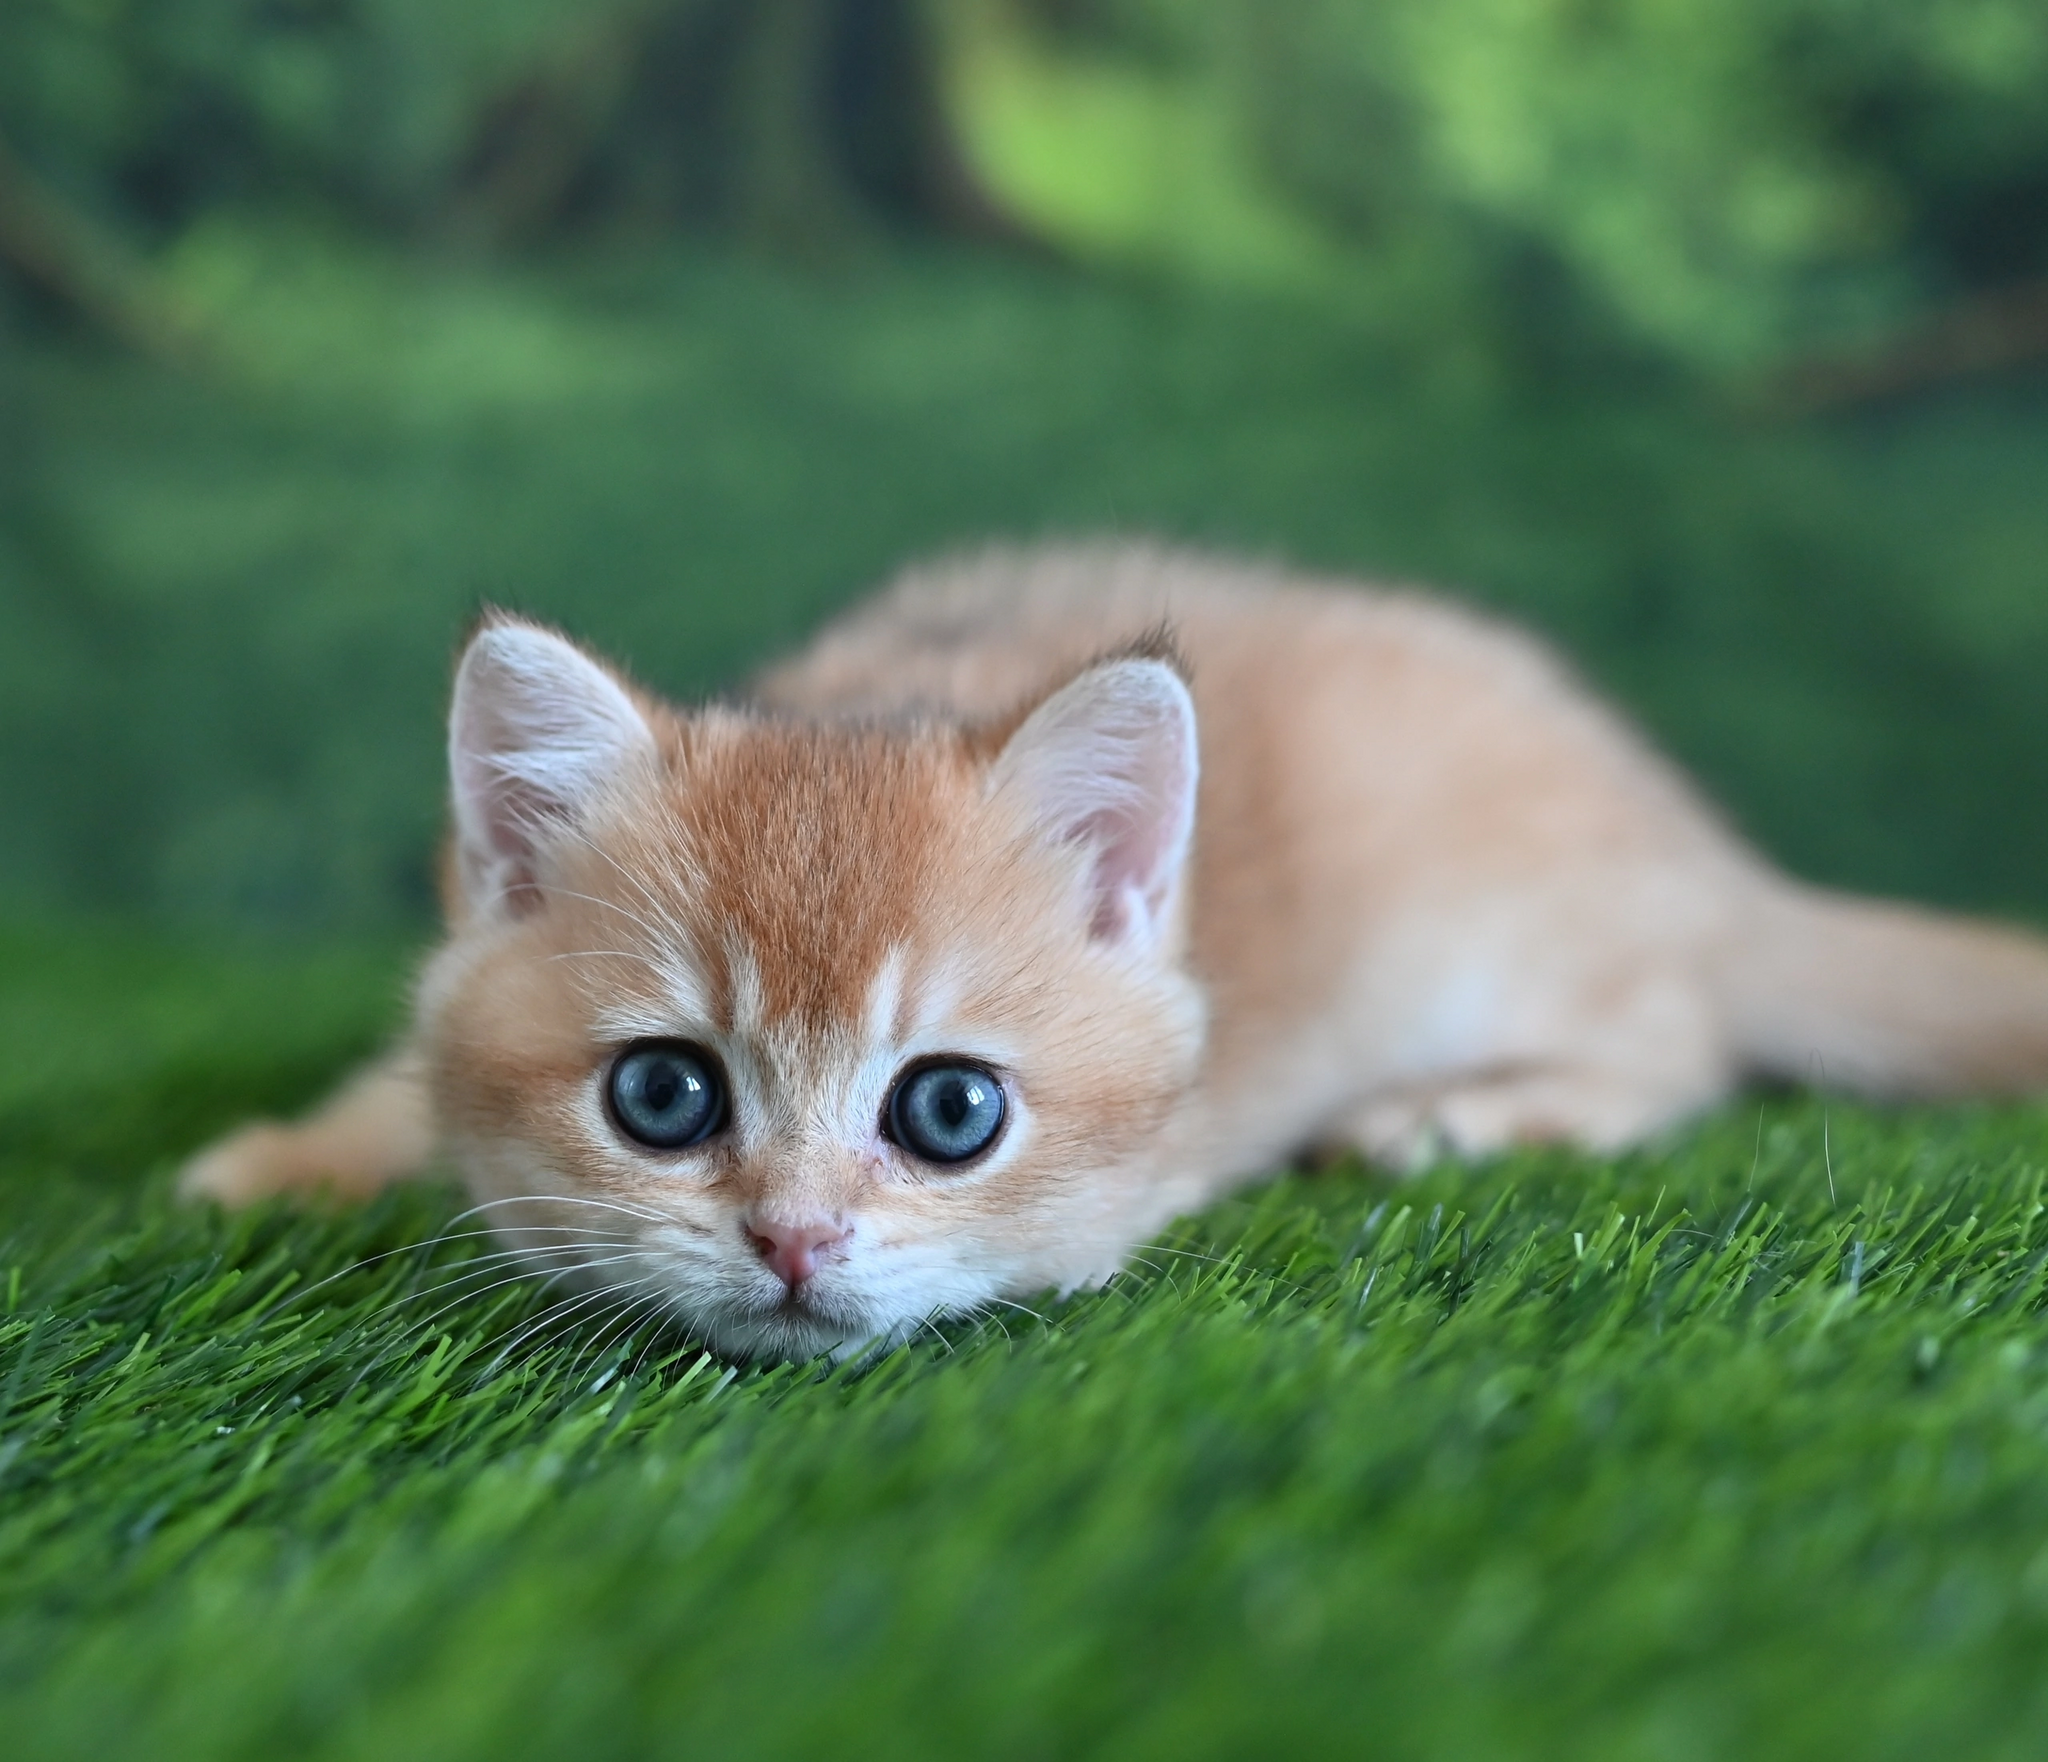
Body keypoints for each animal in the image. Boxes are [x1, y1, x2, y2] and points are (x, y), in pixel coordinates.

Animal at [180, 544, 2048, 1352]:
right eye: (662, 1094)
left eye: (948, 1112)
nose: (792, 1241)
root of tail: (1702, 851)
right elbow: (399, 1078)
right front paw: (294, 1159)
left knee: (1679, 1048)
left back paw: (1459, 1113)